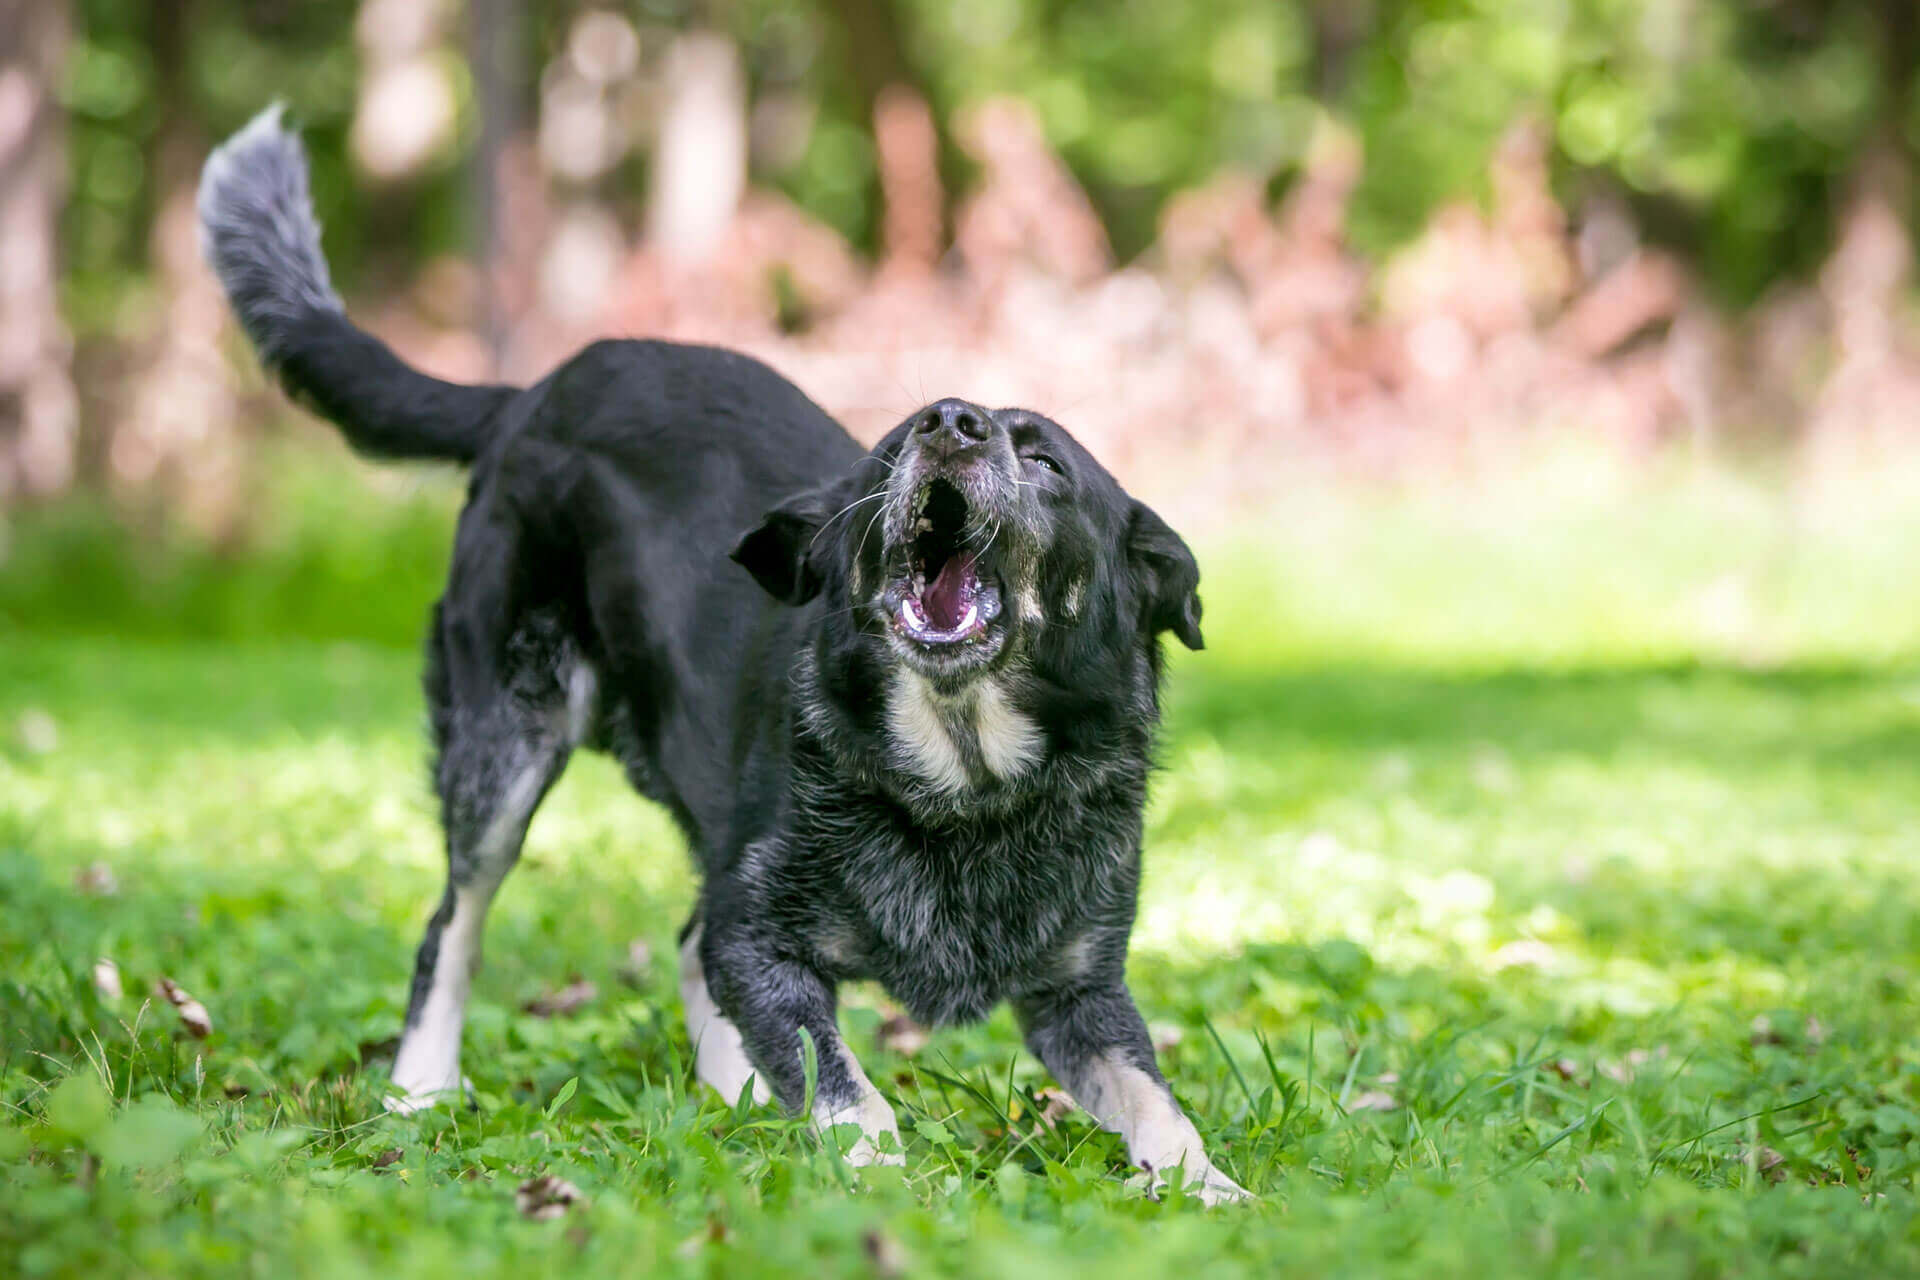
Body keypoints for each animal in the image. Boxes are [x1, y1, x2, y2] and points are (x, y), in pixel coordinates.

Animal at [198, 107, 1244, 1205]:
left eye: (1045, 458)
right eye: (887, 451)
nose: (948, 421)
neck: (965, 783)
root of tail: (527, 394)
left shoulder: (1083, 989)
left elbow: (1157, 1100)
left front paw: (1214, 1189)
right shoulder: (764, 935)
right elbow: (845, 1078)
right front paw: (874, 1169)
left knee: (683, 942)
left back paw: (734, 1100)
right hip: (504, 746)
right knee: (456, 924)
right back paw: (420, 1090)